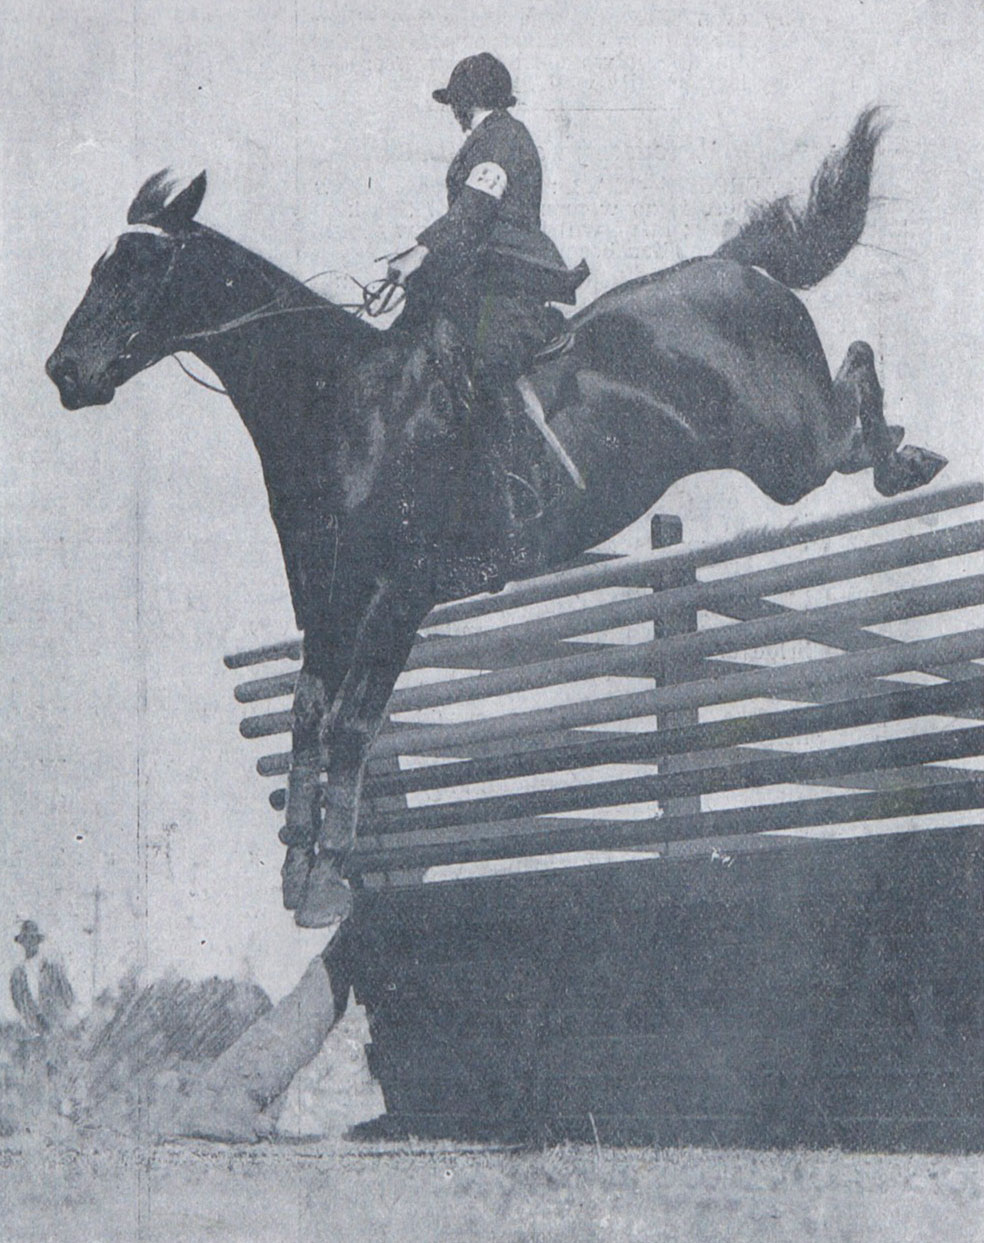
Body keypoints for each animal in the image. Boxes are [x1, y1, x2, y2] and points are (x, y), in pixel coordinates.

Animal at [44, 109, 944, 934]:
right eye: (98, 264)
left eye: (142, 265)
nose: (64, 372)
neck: (344, 401)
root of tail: (737, 266)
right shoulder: (325, 595)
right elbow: (307, 714)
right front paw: (297, 870)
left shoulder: (400, 592)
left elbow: (353, 722)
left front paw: (328, 877)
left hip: (787, 454)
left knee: (855, 380)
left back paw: (904, 455)